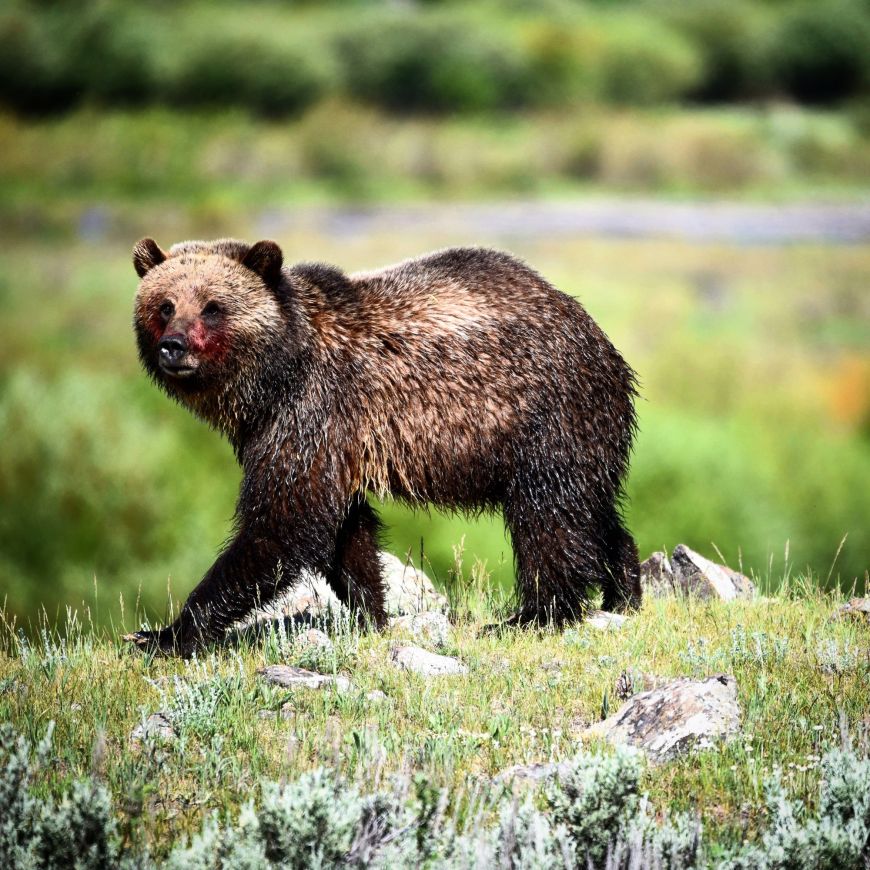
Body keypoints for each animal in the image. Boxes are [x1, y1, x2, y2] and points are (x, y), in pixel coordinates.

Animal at [126, 238, 640, 656]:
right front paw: (372, 613)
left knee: (548, 518)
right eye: (165, 305)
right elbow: (346, 531)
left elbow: (281, 524)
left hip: (543, 416)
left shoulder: (311, 412)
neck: (272, 380)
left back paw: (533, 615)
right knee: (589, 510)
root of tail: (597, 335)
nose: (173, 347)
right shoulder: (320, 440)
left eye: (213, 306)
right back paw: (624, 591)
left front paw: (165, 634)